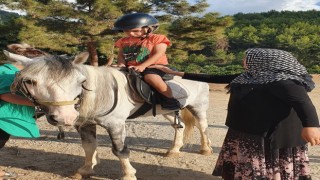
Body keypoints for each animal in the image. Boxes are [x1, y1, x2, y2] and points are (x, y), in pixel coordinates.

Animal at [5, 50, 211, 179]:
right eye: (30, 82)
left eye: (80, 81)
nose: (65, 117)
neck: (101, 92)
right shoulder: (85, 124)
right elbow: (89, 147)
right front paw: (85, 170)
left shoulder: (116, 124)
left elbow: (120, 151)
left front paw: (128, 175)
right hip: (167, 110)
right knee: (179, 127)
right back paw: (174, 150)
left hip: (199, 107)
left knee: (202, 127)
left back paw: (206, 149)